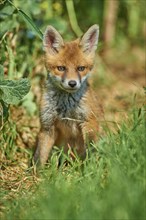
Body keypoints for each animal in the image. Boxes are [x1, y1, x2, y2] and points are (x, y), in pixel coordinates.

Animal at [34, 24, 102, 165]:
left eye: (81, 68)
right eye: (61, 68)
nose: (72, 83)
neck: (66, 106)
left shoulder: (89, 122)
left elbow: (91, 150)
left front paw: (91, 168)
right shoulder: (47, 126)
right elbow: (39, 157)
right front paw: (34, 171)